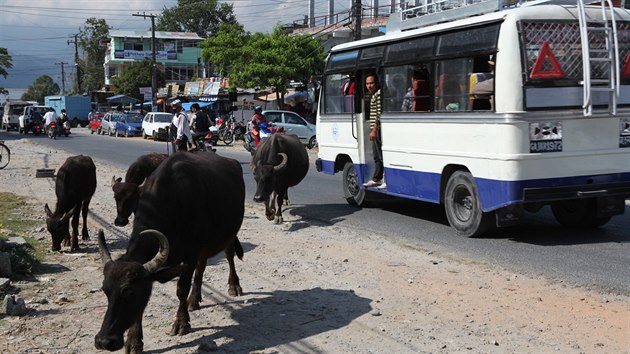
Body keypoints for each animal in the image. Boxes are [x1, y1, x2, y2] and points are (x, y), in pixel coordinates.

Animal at [95, 152, 246, 354]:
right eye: (105, 290)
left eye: (130, 291)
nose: (104, 341)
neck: (174, 201)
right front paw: (134, 340)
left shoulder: (190, 254)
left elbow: (181, 289)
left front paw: (182, 323)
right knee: (202, 267)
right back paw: (194, 300)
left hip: (229, 234)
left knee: (229, 256)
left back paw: (233, 286)